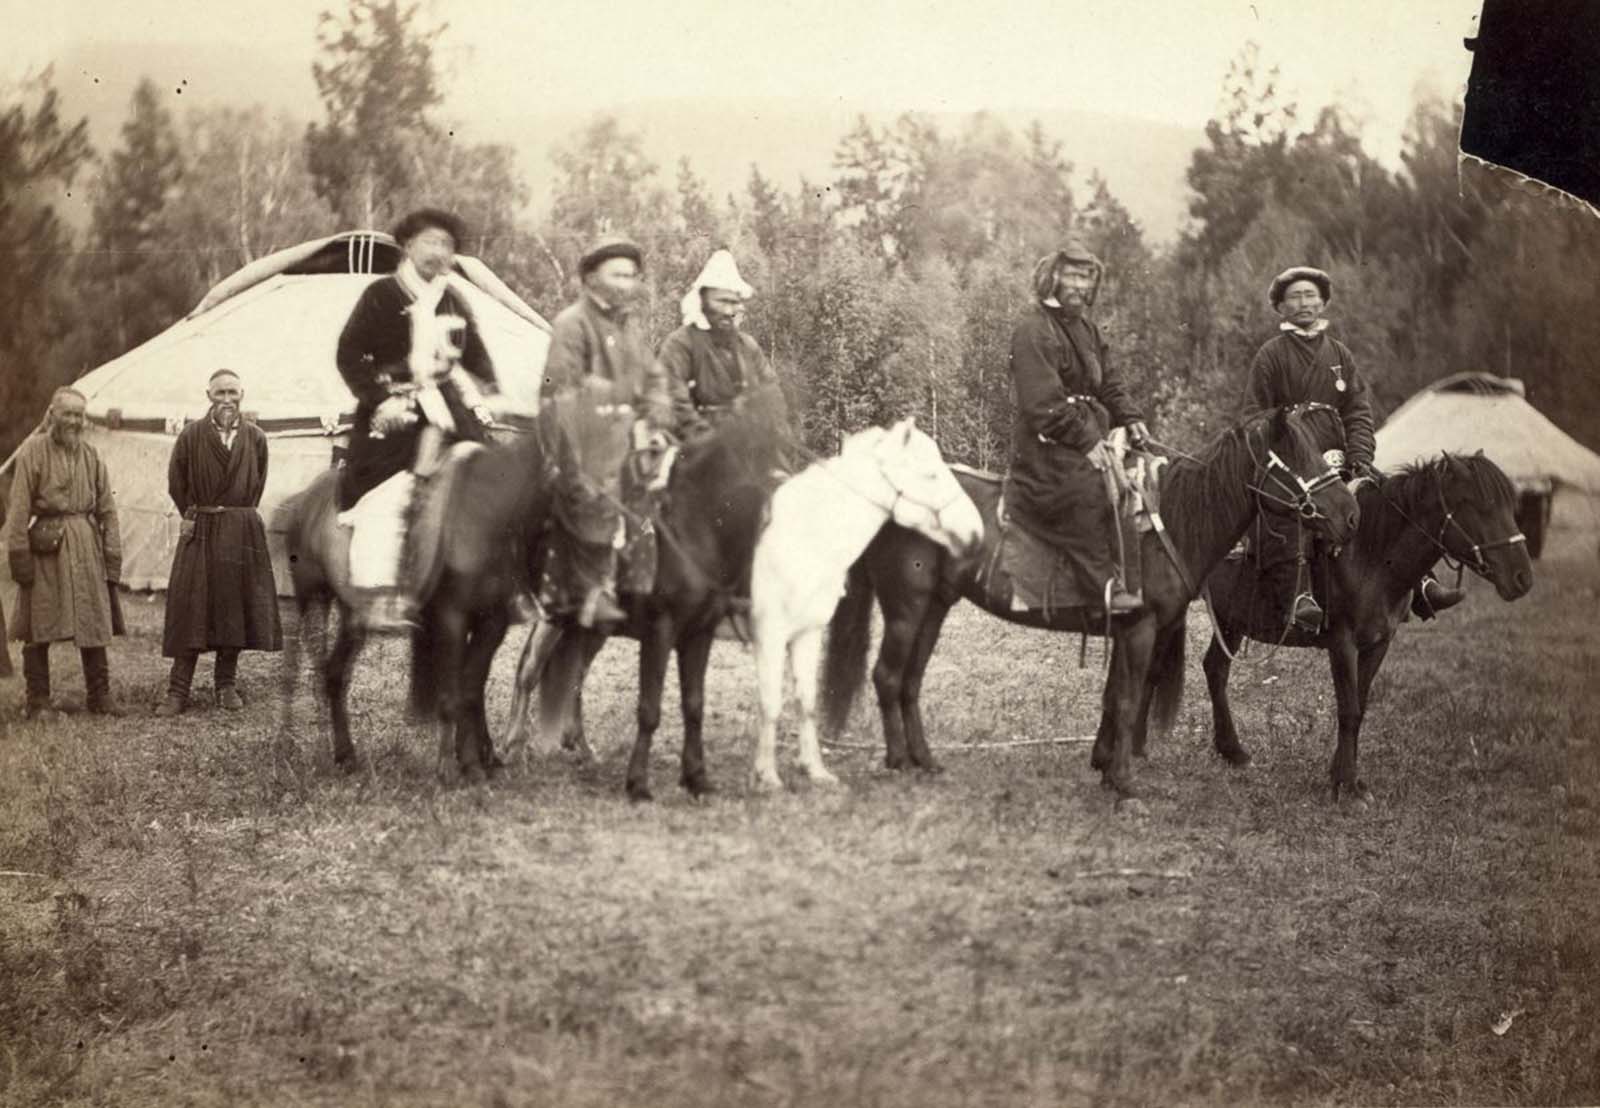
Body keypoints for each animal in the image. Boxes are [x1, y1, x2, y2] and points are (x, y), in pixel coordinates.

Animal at [272, 422, 553, 778]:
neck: (487, 510)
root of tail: (301, 501)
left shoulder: (492, 621)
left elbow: (471, 688)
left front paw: (475, 760)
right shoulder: (451, 617)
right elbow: (451, 691)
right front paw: (449, 767)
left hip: (352, 612)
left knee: (334, 672)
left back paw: (342, 753)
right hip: (312, 595)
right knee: (298, 664)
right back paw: (289, 744)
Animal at [748, 416, 985, 787]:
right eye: (931, 475)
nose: (976, 533)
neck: (804, 530)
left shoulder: (805, 632)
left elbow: (806, 700)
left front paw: (814, 770)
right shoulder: (769, 633)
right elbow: (770, 702)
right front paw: (767, 776)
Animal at [825, 401, 1363, 800]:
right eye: (1300, 459)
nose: (1351, 515)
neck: (1173, 520)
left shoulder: (1125, 629)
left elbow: (1113, 696)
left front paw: (1105, 765)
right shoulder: (1141, 628)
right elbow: (1128, 698)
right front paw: (1123, 782)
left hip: (934, 606)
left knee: (909, 680)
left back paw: (924, 760)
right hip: (907, 606)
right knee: (888, 676)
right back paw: (899, 763)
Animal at [1203, 451, 1536, 803]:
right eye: (1479, 505)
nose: (1522, 578)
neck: (1370, 557)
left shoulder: (1379, 642)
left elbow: (1359, 708)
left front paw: (1342, 776)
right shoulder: (1342, 644)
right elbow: (1348, 710)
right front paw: (1348, 786)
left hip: (1229, 620)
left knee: (1215, 669)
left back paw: (1233, 751)